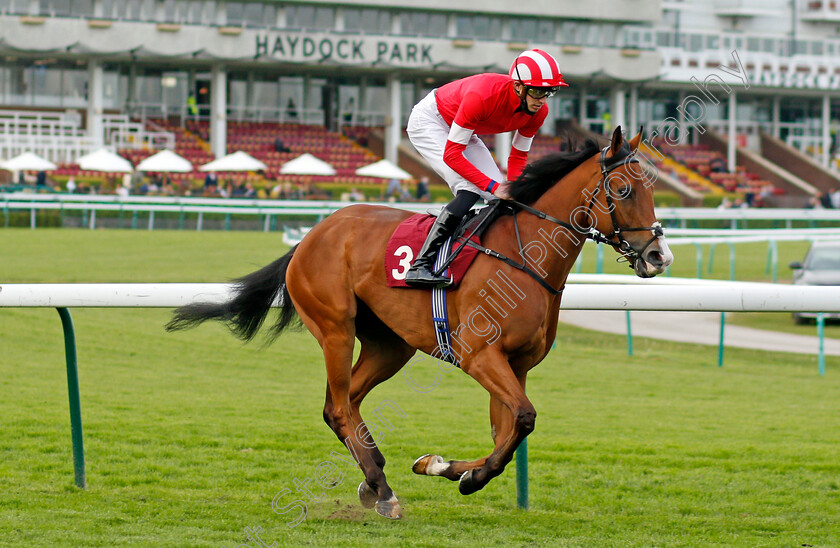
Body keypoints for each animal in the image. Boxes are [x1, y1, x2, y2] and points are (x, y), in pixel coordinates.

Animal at [167, 127, 672, 520]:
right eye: (624, 190)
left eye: (651, 188)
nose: (658, 256)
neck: (525, 254)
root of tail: (311, 235)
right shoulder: (479, 355)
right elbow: (523, 419)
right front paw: (463, 476)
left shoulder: (517, 365)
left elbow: (508, 430)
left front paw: (446, 467)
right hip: (335, 328)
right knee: (338, 406)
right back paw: (382, 488)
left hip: (389, 345)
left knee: (345, 403)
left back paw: (374, 482)